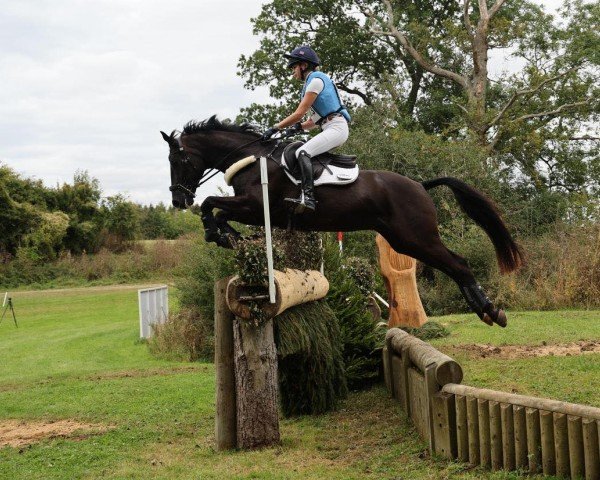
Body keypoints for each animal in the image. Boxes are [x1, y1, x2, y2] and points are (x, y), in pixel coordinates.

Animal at [162, 114, 524, 328]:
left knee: (459, 264)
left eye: (178, 160)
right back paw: (487, 311)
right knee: (453, 266)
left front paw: (220, 234)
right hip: (404, 240)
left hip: (418, 236)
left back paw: (491, 311)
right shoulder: (251, 209)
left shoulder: (255, 205)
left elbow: (211, 205)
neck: (252, 159)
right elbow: (217, 210)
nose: (178, 200)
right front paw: (227, 236)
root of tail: (421, 185)